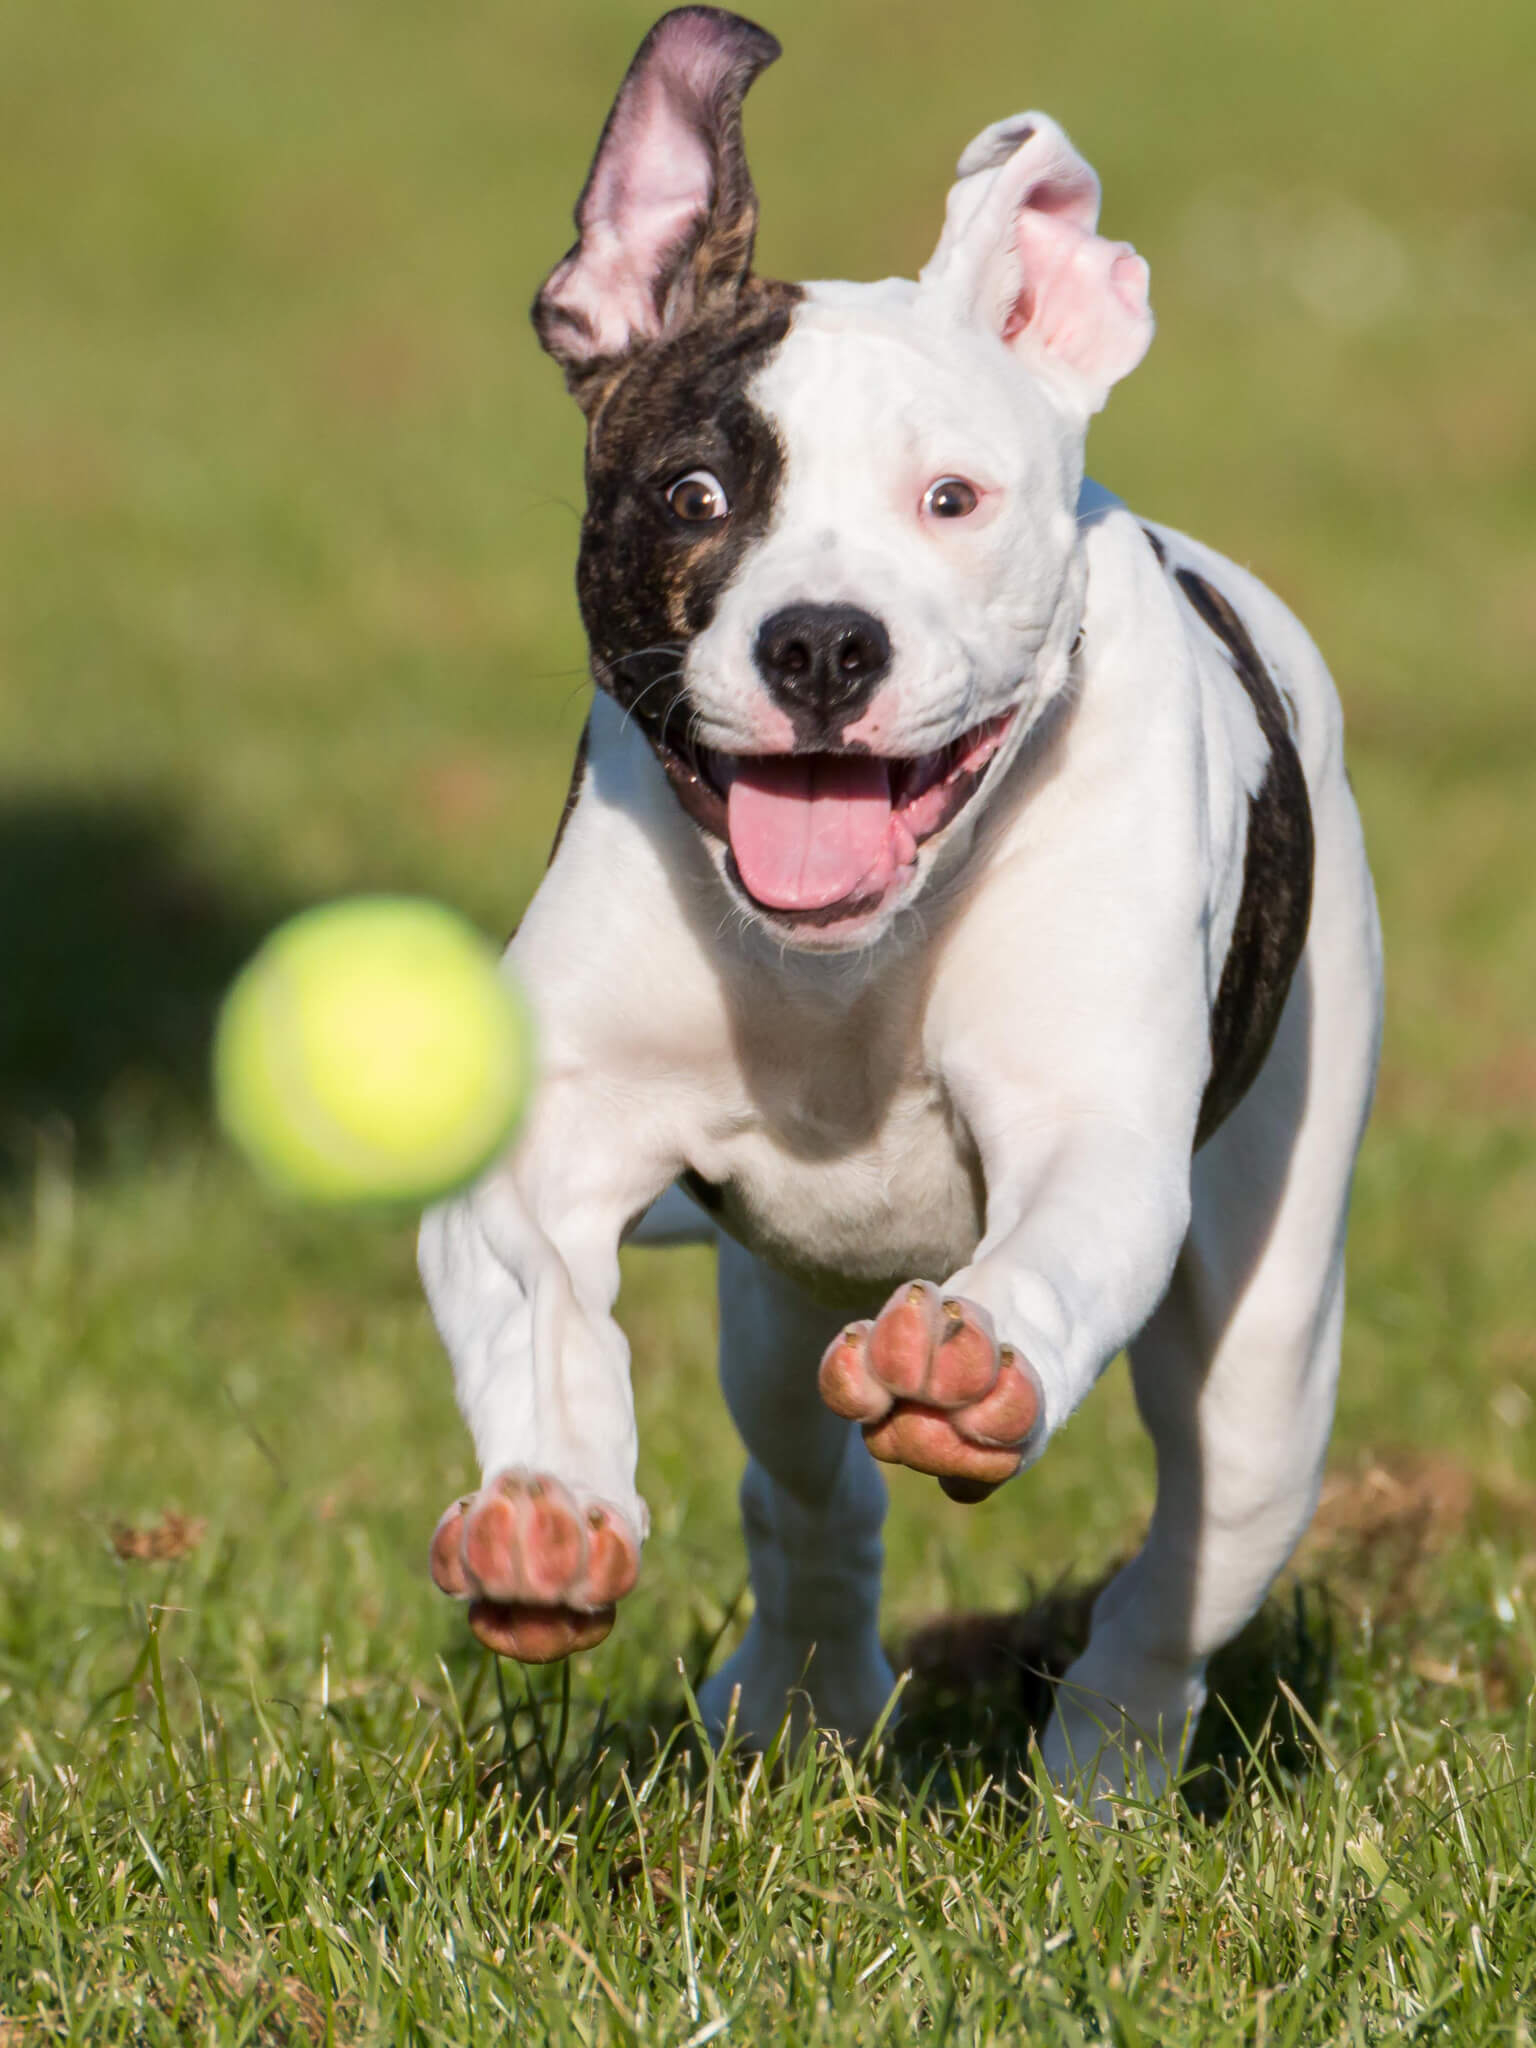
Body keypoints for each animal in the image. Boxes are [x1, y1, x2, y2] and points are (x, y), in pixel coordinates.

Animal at [417, 4, 1384, 1794]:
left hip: (1273, 1339)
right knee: (807, 1489)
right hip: (773, 1314)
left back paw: (1106, 1772)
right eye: (696, 496)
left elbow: (1056, 1243)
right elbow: (539, 1301)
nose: (819, 642)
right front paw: (549, 1511)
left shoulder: (1095, 1133)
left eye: (953, 500)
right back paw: (800, 1694)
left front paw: (968, 1356)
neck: (843, 968)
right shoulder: (545, 1143)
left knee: (1197, 1548)